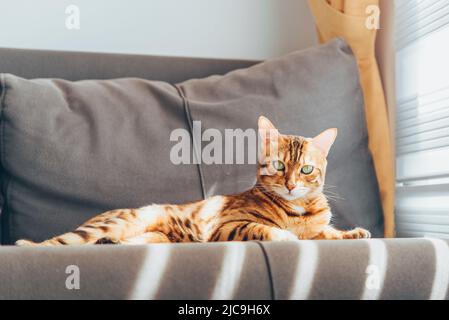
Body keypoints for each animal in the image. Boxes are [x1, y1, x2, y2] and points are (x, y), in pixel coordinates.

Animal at [15, 116, 370, 246]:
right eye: (280, 165)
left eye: (306, 169)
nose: (291, 185)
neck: (299, 210)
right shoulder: (228, 226)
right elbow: (269, 230)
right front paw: (288, 236)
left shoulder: (319, 228)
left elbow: (327, 233)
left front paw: (352, 233)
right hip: (112, 223)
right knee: (53, 245)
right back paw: (28, 245)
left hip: (154, 238)